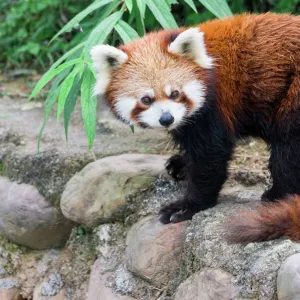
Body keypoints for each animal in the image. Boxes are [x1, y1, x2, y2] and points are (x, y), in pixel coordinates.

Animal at [90, 14, 300, 243]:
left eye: (174, 94)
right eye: (146, 99)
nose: (166, 118)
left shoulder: (214, 106)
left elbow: (210, 157)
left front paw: (187, 207)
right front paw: (180, 164)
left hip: (294, 95)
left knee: (287, 149)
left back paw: (277, 195)